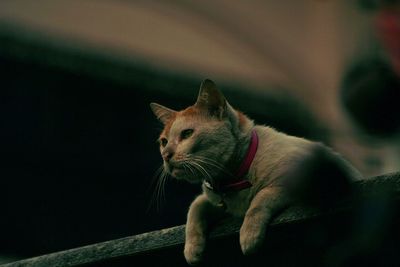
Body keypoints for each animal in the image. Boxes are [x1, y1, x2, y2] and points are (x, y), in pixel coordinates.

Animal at [150, 79, 362, 266]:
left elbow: (259, 200)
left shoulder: (291, 180)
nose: (166, 155)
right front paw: (192, 249)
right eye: (163, 142)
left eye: (187, 134)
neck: (232, 182)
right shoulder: (211, 200)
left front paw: (249, 237)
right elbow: (194, 208)